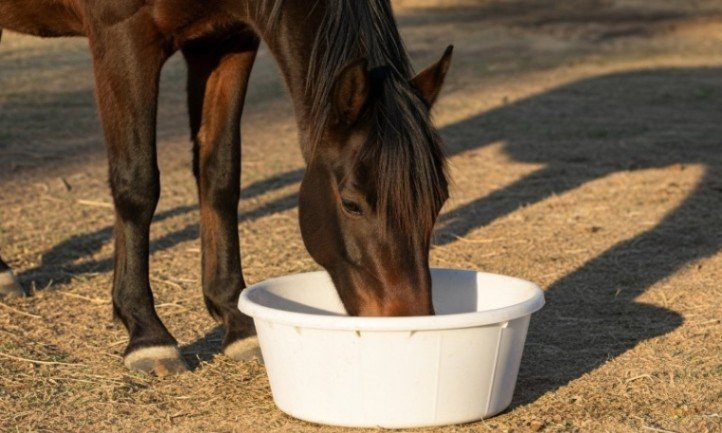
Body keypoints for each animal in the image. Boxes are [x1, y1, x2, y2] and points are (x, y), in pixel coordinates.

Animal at [0, 0, 453, 376]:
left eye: (439, 201)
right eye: (352, 203)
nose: (410, 323)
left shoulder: (227, 41)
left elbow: (219, 174)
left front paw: (236, 319)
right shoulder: (122, 37)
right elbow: (137, 183)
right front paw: (148, 334)